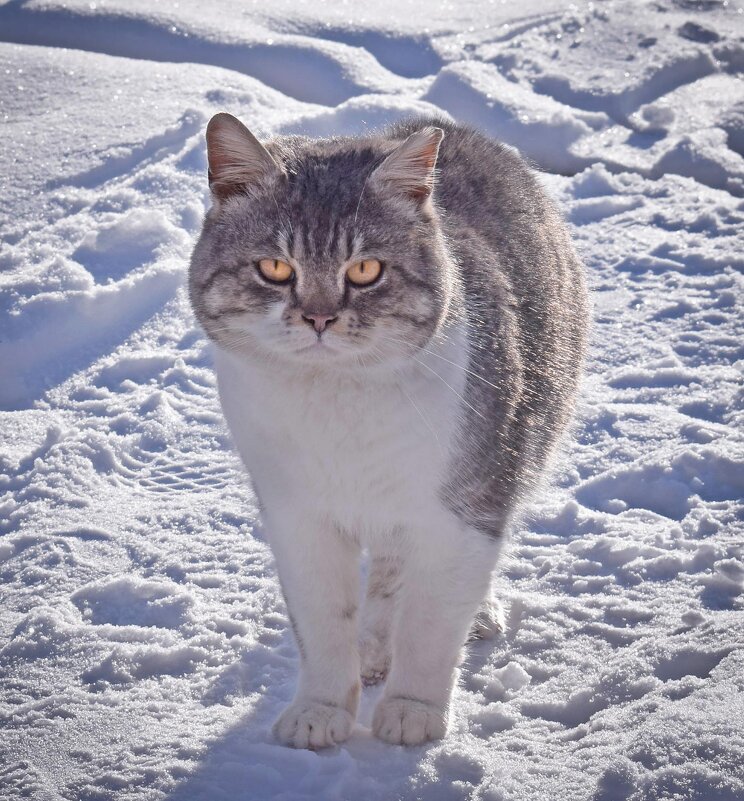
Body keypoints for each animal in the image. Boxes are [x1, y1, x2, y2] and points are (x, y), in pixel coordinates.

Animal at [189, 114, 588, 752]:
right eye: (275, 268)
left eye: (365, 270)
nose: (319, 317)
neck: (337, 404)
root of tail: (449, 127)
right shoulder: (297, 516)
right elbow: (323, 621)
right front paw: (321, 711)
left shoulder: (461, 505)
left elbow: (430, 622)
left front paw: (411, 713)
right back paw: (373, 648)